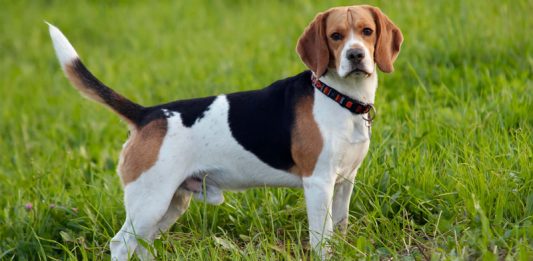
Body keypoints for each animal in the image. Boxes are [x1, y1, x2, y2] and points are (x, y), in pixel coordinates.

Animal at [47, 4, 402, 260]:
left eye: (367, 32)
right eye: (335, 36)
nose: (355, 55)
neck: (339, 97)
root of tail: (147, 114)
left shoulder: (344, 182)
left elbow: (339, 229)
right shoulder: (318, 183)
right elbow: (321, 239)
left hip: (170, 203)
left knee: (142, 244)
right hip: (150, 201)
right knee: (121, 245)